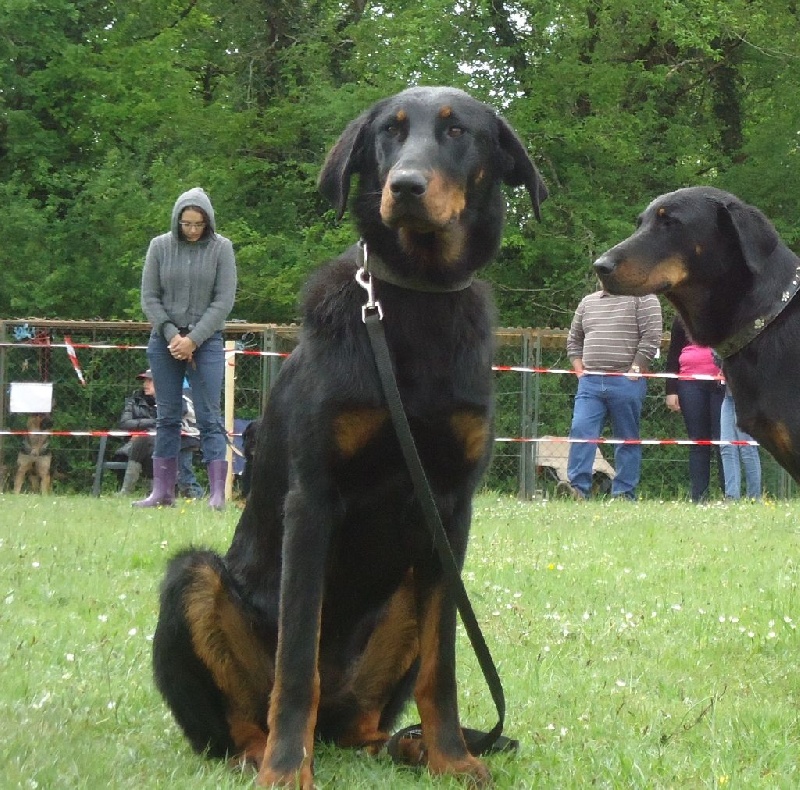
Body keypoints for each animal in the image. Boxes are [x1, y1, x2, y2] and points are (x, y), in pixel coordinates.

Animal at [153, 83, 548, 788]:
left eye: (458, 133)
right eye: (389, 133)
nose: (407, 186)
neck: (416, 300)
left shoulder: (450, 510)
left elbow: (443, 667)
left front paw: (452, 757)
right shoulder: (314, 498)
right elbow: (295, 665)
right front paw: (287, 770)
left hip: (405, 598)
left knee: (364, 724)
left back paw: (405, 747)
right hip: (192, 580)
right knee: (239, 719)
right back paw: (261, 754)